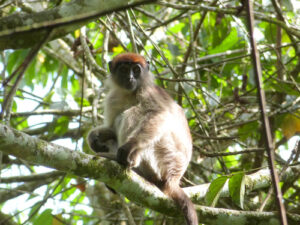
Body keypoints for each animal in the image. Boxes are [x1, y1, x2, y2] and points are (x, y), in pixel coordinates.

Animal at [87, 52, 197, 225]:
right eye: (124, 70)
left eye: (136, 70)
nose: (131, 78)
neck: (129, 93)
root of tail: (173, 178)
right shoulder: (113, 97)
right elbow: (111, 128)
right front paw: (94, 139)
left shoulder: (148, 91)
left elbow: (159, 115)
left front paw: (128, 148)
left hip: (162, 158)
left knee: (132, 114)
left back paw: (127, 162)